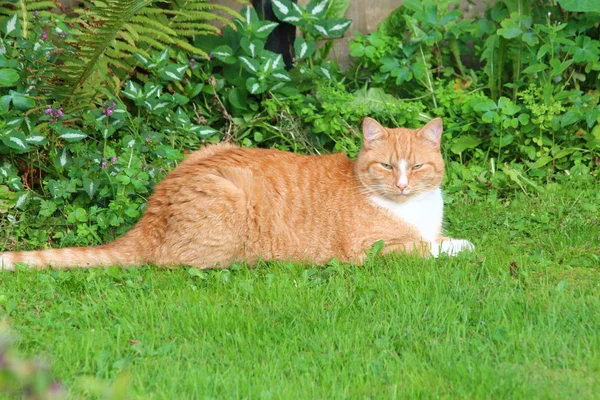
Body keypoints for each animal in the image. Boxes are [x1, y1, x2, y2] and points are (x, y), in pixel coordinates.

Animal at [1, 116, 474, 272]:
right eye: (386, 166)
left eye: (416, 166)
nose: (402, 184)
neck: (411, 207)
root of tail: (150, 214)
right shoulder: (369, 250)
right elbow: (425, 249)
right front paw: (459, 248)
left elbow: (436, 238)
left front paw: (454, 240)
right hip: (231, 197)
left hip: (211, 147)